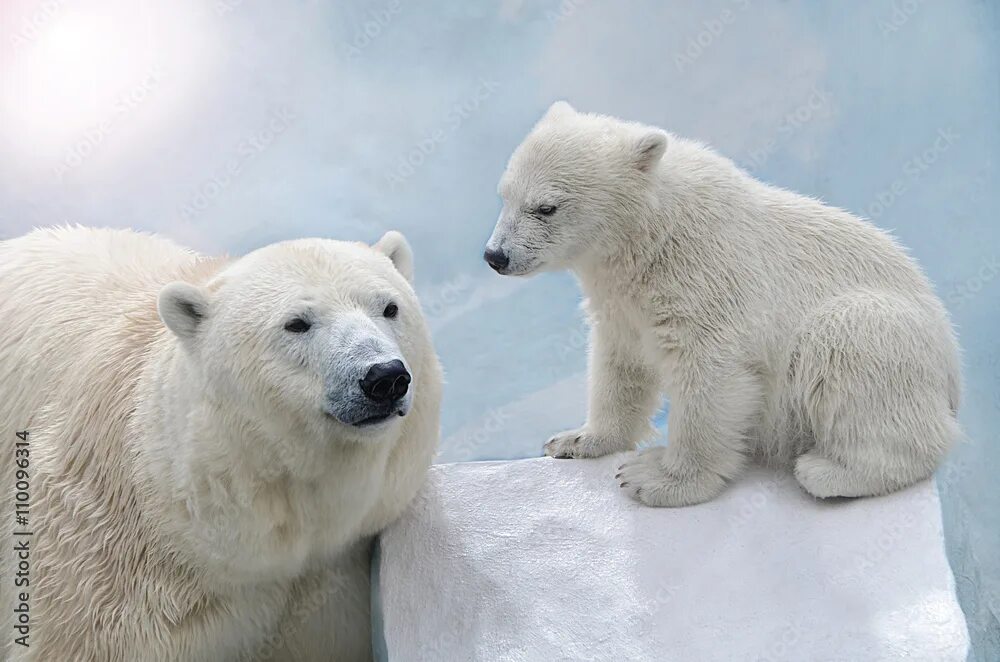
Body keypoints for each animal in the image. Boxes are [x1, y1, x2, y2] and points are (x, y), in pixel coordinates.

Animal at [484, 101, 961, 508]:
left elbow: (711, 375)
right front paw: (577, 440)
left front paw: (656, 478)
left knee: (849, 346)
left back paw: (830, 472)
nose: (495, 256)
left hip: (882, 328)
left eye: (546, 207)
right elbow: (620, 364)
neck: (654, 235)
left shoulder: (708, 278)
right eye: (504, 194)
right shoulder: (622, 298)